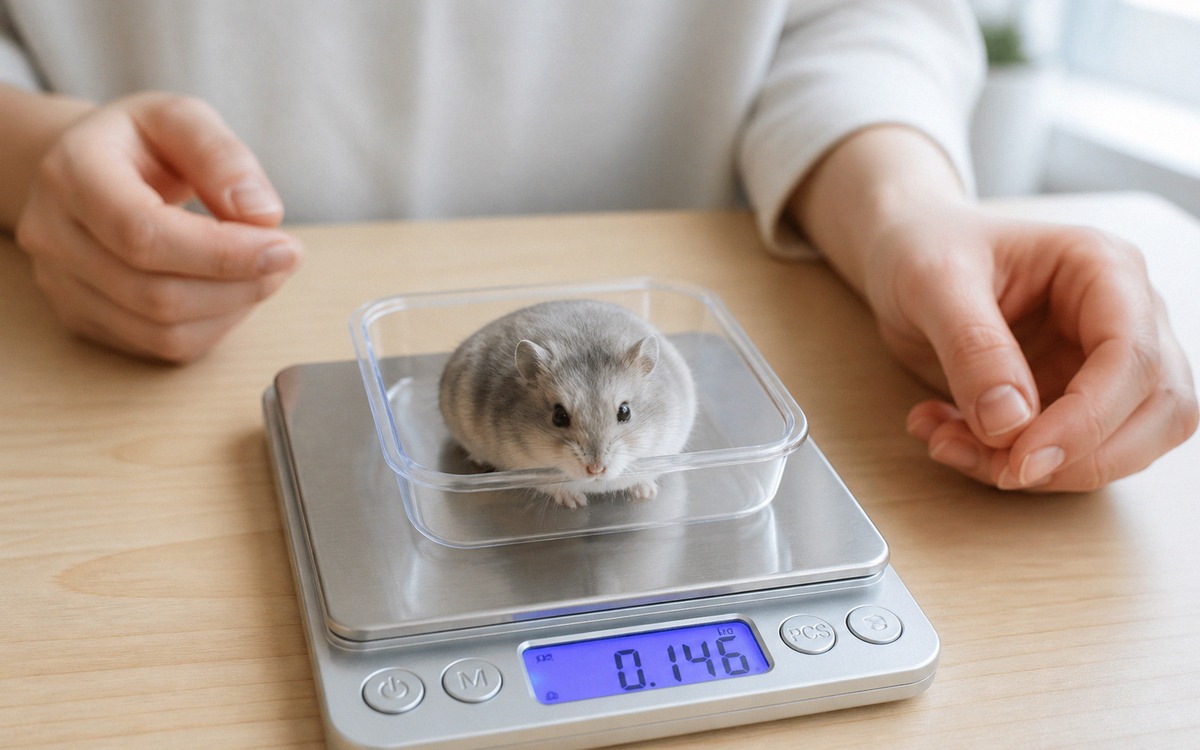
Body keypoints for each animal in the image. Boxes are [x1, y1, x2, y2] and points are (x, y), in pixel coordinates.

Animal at [438, 299, 697, 509]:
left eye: (625, 411)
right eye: (559, 416)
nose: (596, 470)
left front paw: (647, 493)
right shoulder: (524, 468)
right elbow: (554, 485)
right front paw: (576, 503)